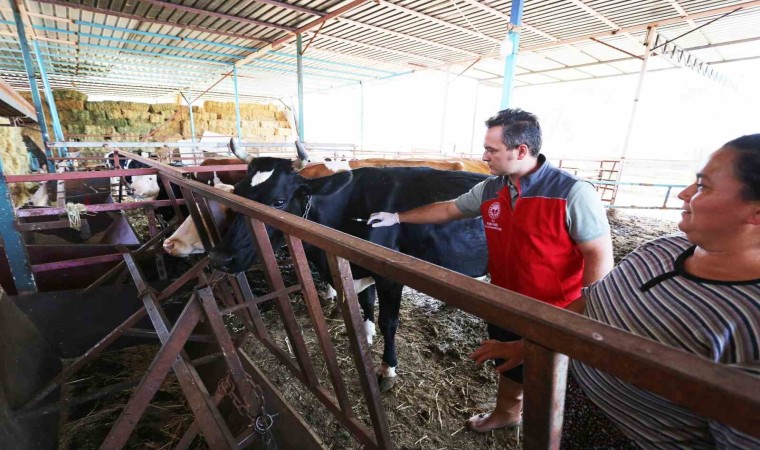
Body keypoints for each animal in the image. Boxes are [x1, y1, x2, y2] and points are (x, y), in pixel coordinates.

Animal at [208, 157, 486, 390]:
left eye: (278, 201)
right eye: (238, 193)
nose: (220, 257)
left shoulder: (389, 277)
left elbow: (389, 322)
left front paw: (387, 369)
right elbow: (366, 301)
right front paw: (366, 332)